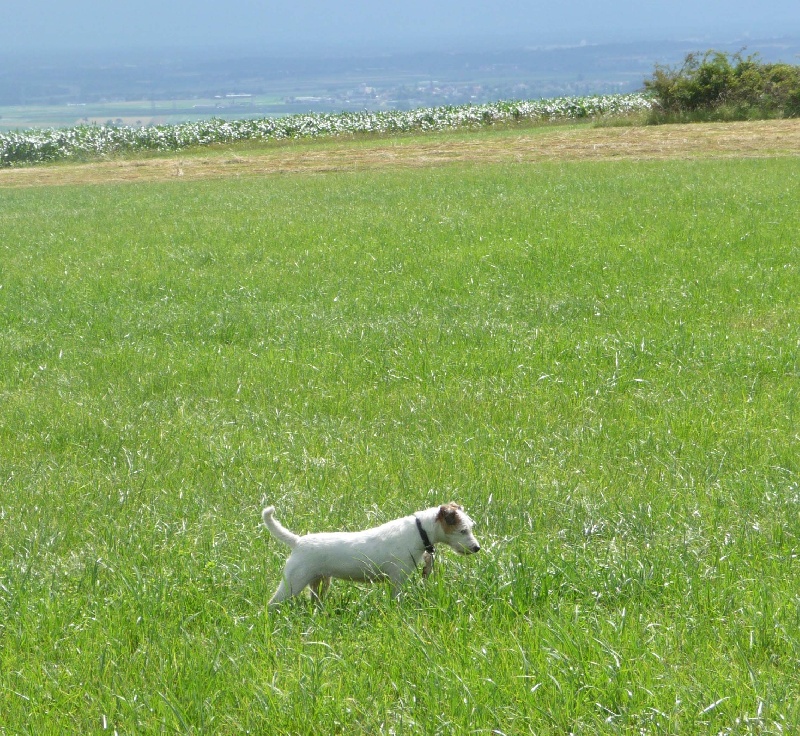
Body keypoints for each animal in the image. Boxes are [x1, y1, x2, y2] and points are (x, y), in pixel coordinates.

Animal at [262, 504, 478, 608]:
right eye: (462, 530)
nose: (477, 548)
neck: (420, 530)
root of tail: (298, 541)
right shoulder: (397, 579)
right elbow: (396, 598)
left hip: (319, 582)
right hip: (293, 583)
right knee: (271, 604)